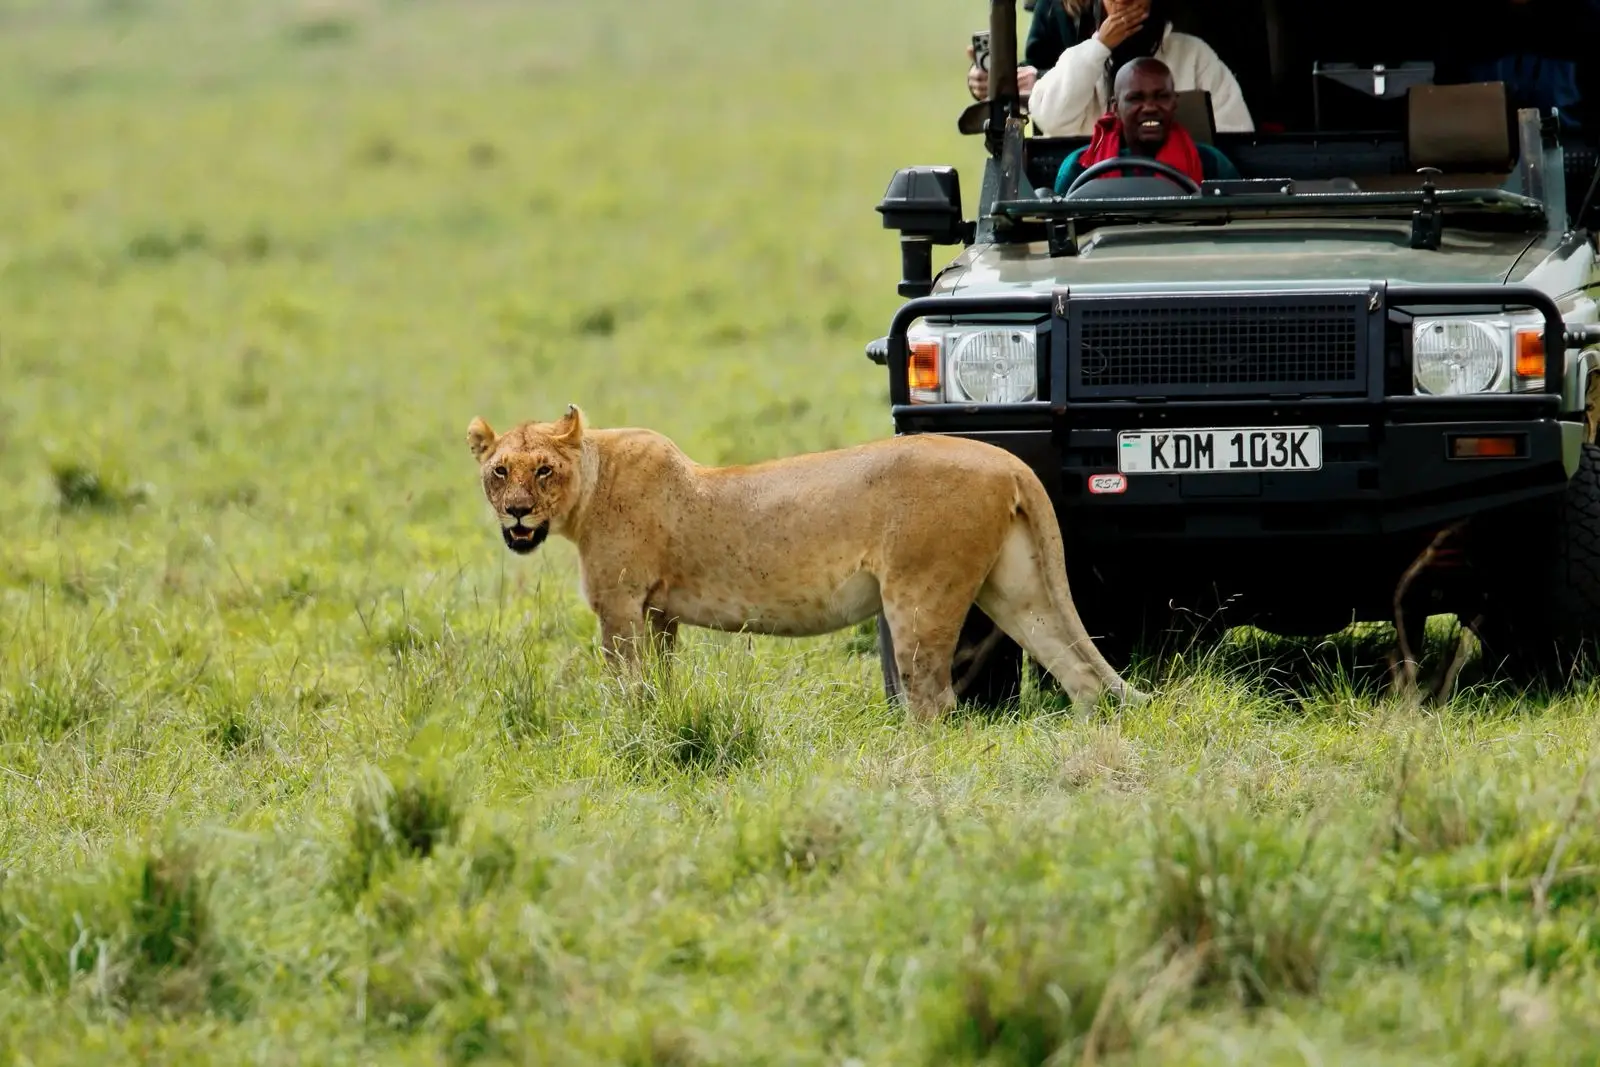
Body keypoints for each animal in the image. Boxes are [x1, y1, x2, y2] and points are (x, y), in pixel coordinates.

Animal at [466, 405, 1147, 720]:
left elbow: (625, 688)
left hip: (919, 595)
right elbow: (658, 687)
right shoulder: (658, 612)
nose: (518, 513)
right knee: (1081, 675)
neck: (589, 485)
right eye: (499, 471)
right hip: (1017, 588)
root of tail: (1009, 462)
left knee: (932, 697)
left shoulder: (621, 606)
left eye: (543, 470)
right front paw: (658, 727)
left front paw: (623, 735)